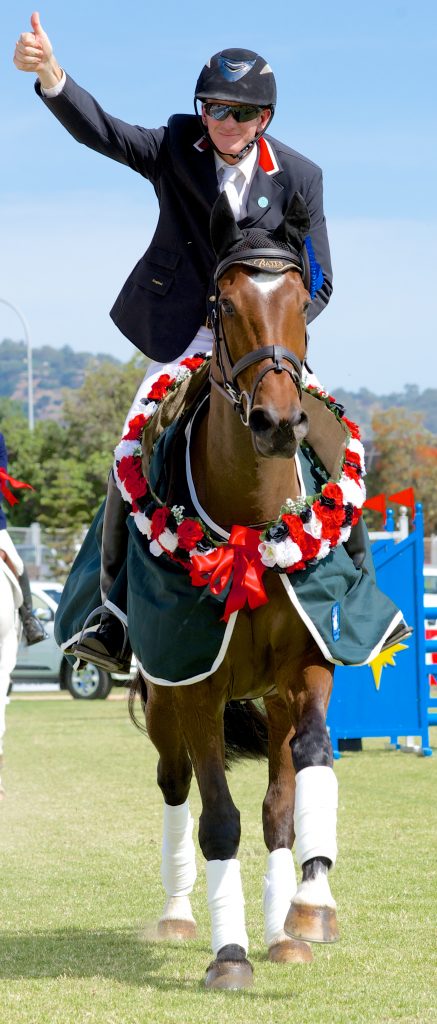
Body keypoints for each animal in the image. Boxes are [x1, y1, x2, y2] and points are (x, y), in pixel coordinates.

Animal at [135, 190, 339, 983]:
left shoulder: (307, 665)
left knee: (277, 801)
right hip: (163, 699)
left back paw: (282, 924)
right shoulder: (194, 680)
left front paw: (308, 908)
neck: (252, 524)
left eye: (301, 303)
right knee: (175, 783)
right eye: (224, 304)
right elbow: (218, 818)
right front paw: (229, 955)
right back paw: (177, 915)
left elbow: (304, 772)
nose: (278, 421)